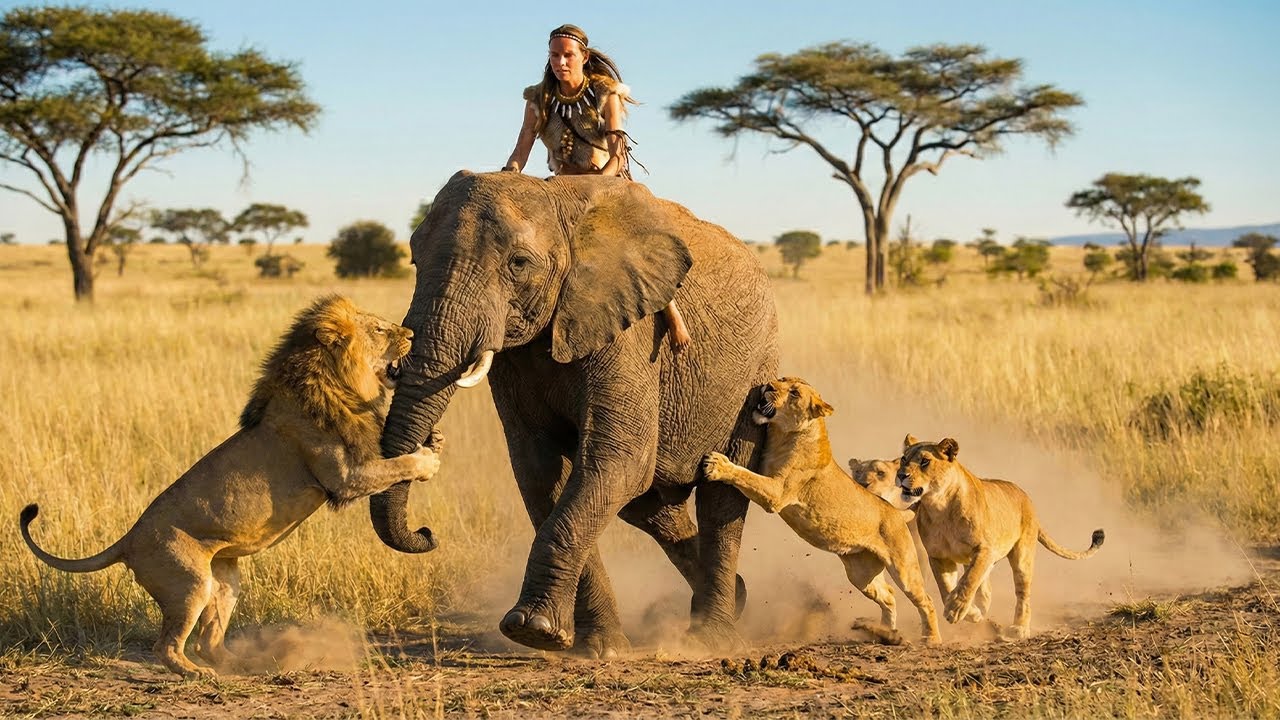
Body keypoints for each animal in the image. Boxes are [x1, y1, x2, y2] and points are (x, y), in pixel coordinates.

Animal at [371, 170, 778, 656]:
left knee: (721, 496)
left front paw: (531, 630)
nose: (426, 533)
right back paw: (737, 596)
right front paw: (591, 646)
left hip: (758, 367)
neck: (558, 205)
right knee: (650, 508)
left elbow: (618, 460)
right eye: (414, 259)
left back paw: (711, 639)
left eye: (519, 264)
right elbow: (542, 470)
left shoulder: (631, 333)